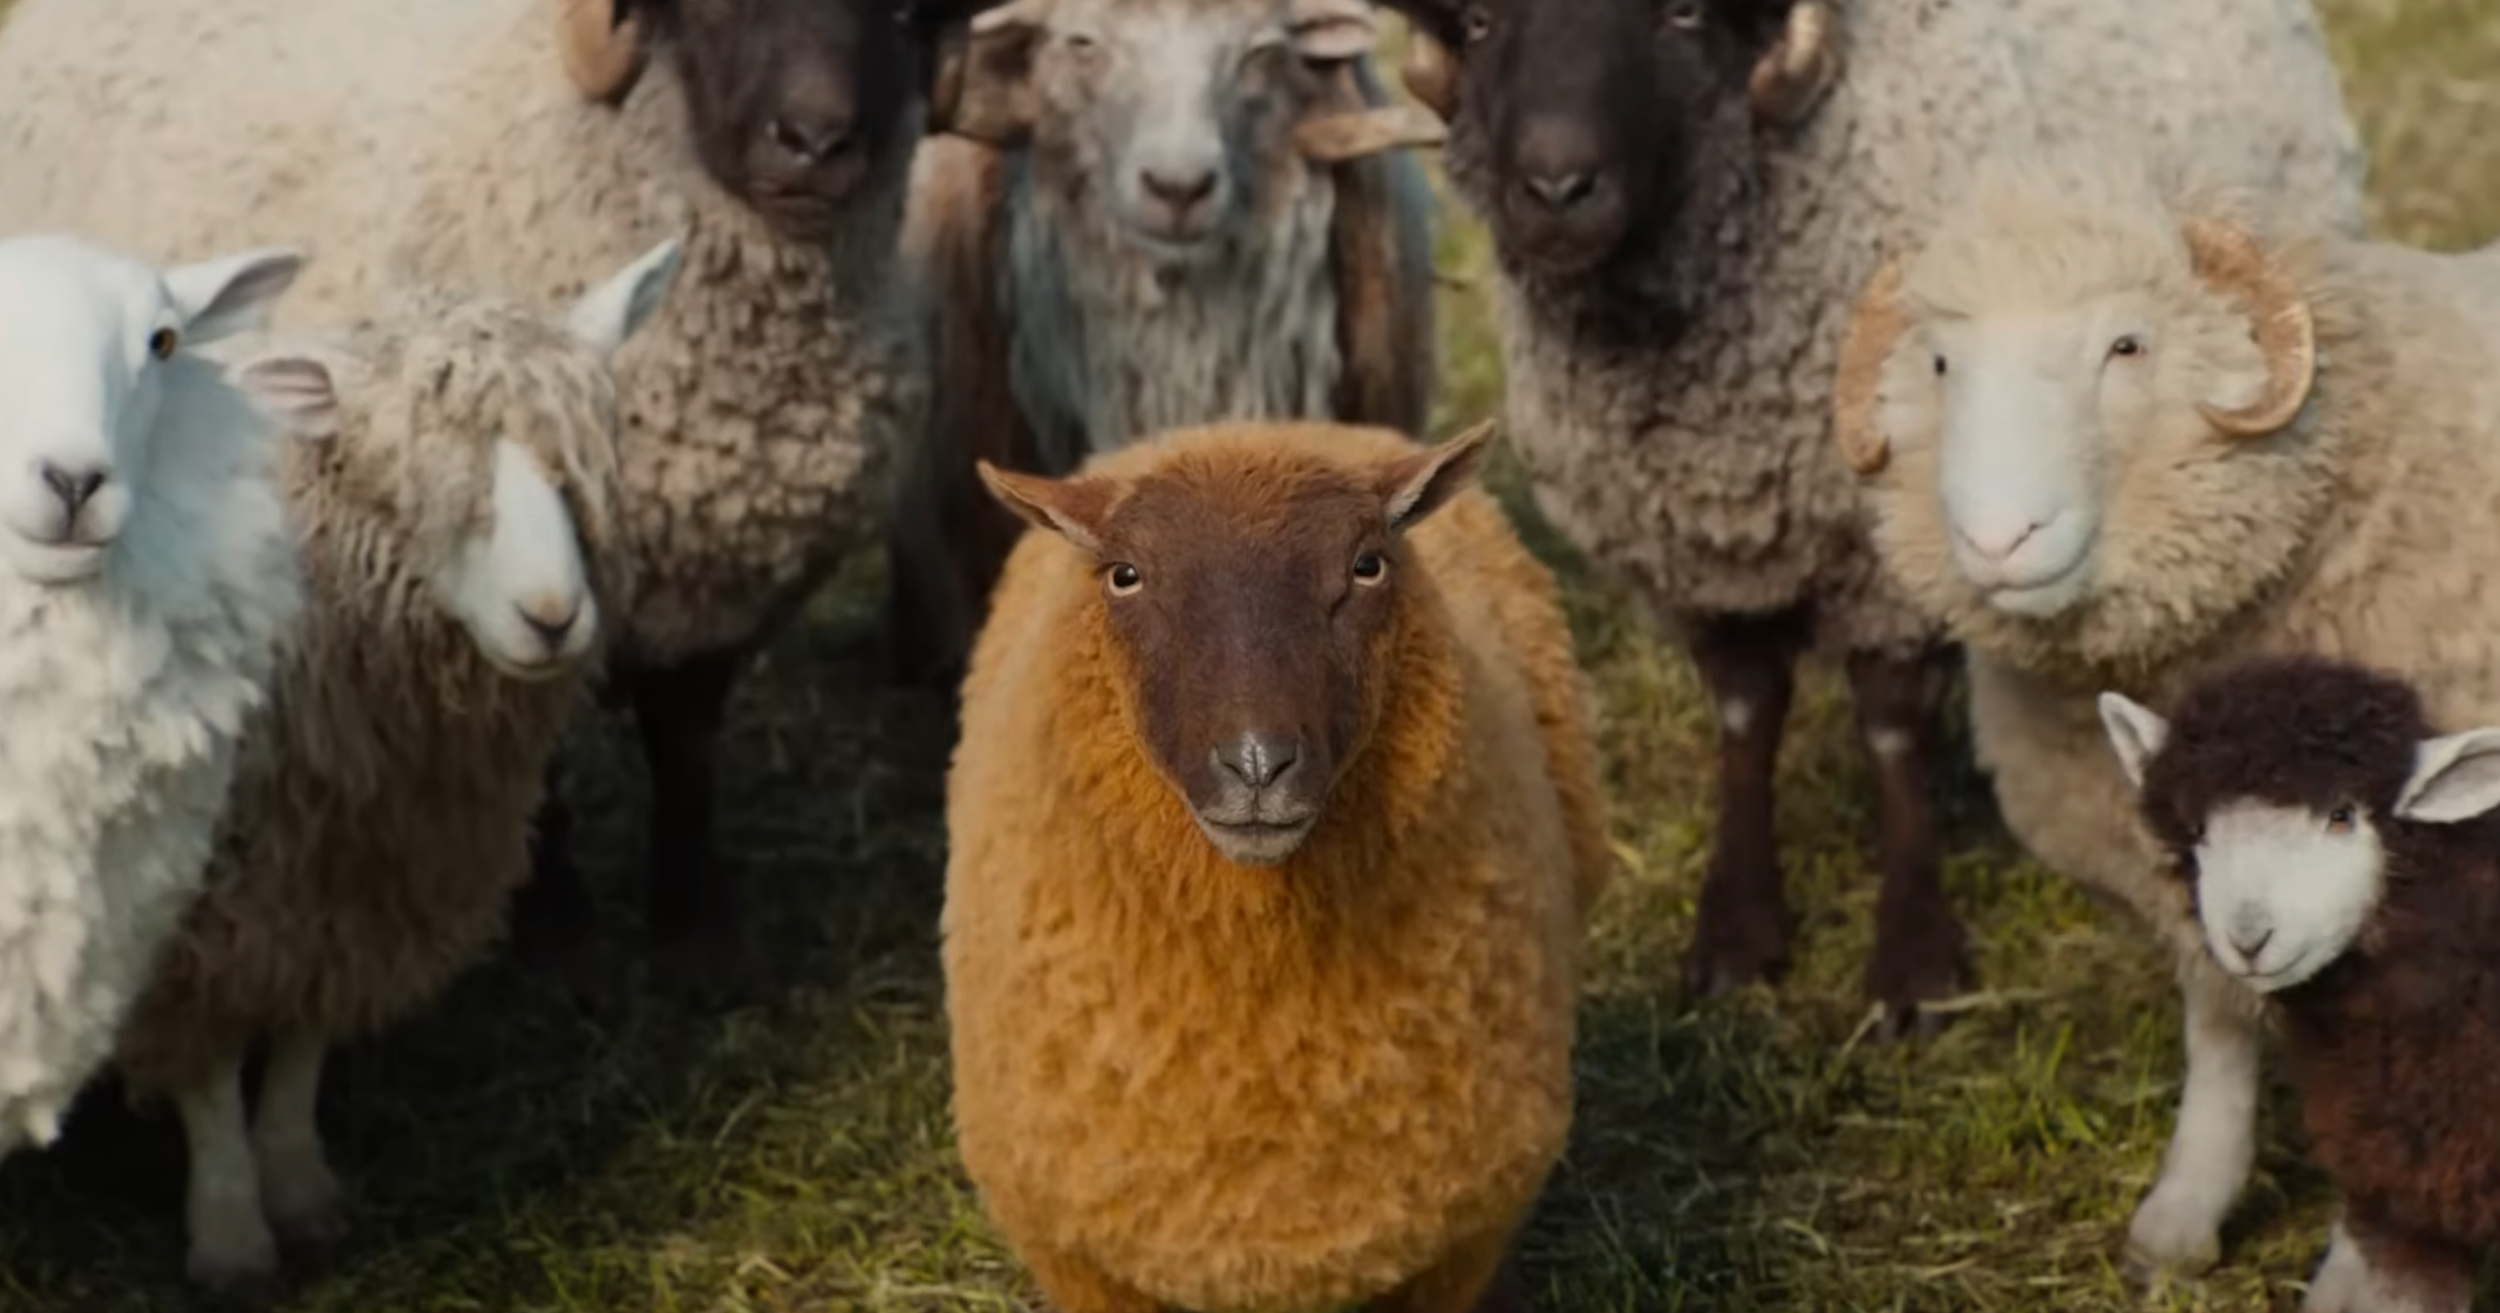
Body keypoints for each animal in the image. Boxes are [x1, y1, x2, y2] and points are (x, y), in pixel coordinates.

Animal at [0, 0, 996, 987]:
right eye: (718, 11)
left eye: (905, 15)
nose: (815, 142)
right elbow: (542, 762)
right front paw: (554, 918)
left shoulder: (724, 593)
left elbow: (685, 746)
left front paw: (697, 922)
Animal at [98, 239, 684, 1297]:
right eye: (407, 475)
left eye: (580, 469)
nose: (552, 616)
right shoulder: (189, 911)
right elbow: (209, 1066)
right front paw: (232, 1234)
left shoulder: (358, 879)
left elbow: (303, 1043)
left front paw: (300, 1187)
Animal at [942, 417, 1610, 1313]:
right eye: (1124, 575)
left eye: (1368, 565)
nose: (1257, 763)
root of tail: (1247, 423)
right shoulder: (1084, 1260)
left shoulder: (1456, 1246)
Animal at [1357, 0, 2369, 1041]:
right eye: (1482, 23)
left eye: (1682, 16)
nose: (1557, 188)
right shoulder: (1701, 559)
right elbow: (1744, 715)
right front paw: (1737, 935)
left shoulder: (1891, 561)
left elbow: (1891, 731)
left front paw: (1914, 965)